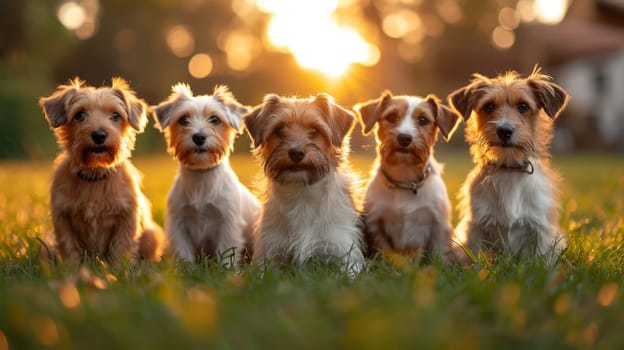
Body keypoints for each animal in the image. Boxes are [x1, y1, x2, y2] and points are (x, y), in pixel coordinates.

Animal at [38, 76, 166, 262]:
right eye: (79, 115)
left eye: (115, 115)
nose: (99, 135)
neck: (95, 173)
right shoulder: (62, 216)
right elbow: (69, 246)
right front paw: (72, 267)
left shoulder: (127, 216)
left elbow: (121, 247)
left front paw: (121, 269)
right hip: (45, 245)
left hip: (152, 235)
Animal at [152, 84, 260, 266]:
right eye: (183, 120)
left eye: (215, 119)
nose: (199, 137)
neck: (201, 175)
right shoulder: (179, 223)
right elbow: (184, 253)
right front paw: (187, 269)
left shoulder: (228, 222)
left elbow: (226, 252)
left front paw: (226, 270)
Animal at [241, 93, 364, 274]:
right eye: (279, 130)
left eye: (315, 131)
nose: (296, 153)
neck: (302, 193)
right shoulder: (269, 253)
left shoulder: (344, 252)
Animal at [354, 91, 460, 262]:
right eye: (391, 117)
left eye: (423, 119)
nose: (404, 137)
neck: (405, 180)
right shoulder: (376, 224)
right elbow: (385, 252)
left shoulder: (439, 226)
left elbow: (439, 254)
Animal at [448, 67, 572, 258]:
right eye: (489, 106)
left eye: (523, 106)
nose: (504, 130)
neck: (508, 169)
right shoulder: (476, 227)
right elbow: (474, 257)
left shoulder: (540, 230)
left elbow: (540, 260)